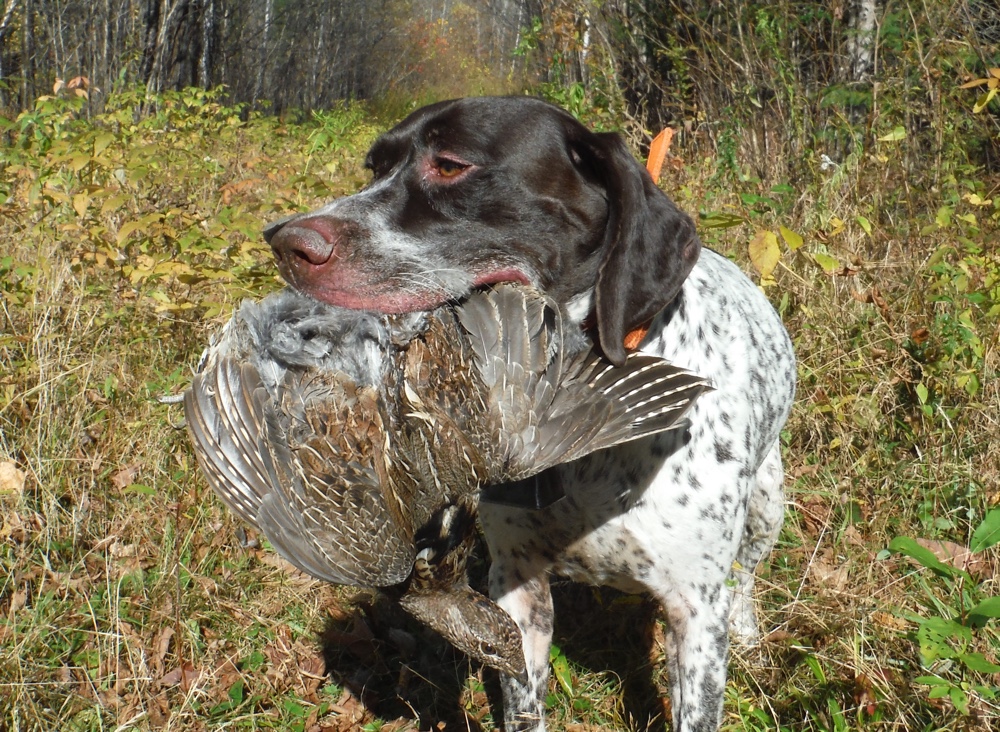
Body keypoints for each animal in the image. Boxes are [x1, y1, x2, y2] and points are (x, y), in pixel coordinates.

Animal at [264, 97, 796, 732]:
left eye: (451, 164)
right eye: (374, 168)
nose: (282, 240)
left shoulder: (693, 612)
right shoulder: (518, 588)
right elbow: (520, 698)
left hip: (767, 504)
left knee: (747, 574)